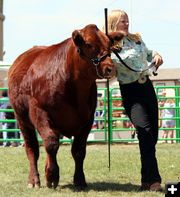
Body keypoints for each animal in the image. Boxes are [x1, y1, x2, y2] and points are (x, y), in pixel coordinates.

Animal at [8, 24, 124, 189]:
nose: (110, 68)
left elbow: (79, 150)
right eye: (89, 44)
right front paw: (52, 176)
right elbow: (51, 143)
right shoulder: (39, 112)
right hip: (22, 119)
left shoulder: (88, 119)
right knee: (32, 148)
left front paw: (79, 180)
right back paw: (34, 180)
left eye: (109, 45)